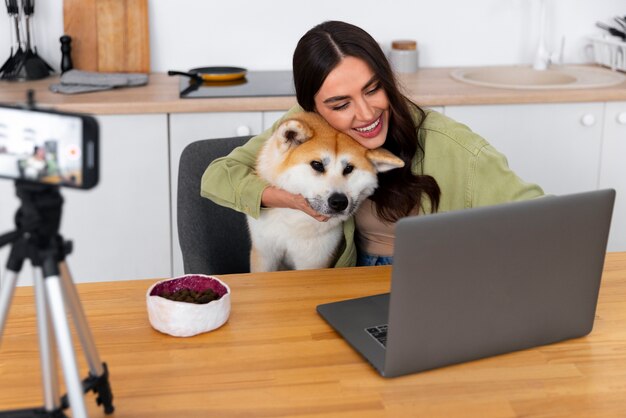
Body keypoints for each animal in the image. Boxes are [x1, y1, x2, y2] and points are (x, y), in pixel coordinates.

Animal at [246, 112, 402, 272]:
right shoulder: (264, 254)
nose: (339, 202)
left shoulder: (313, 260)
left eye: (349, 168)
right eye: (317, 165)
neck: (293, 222)